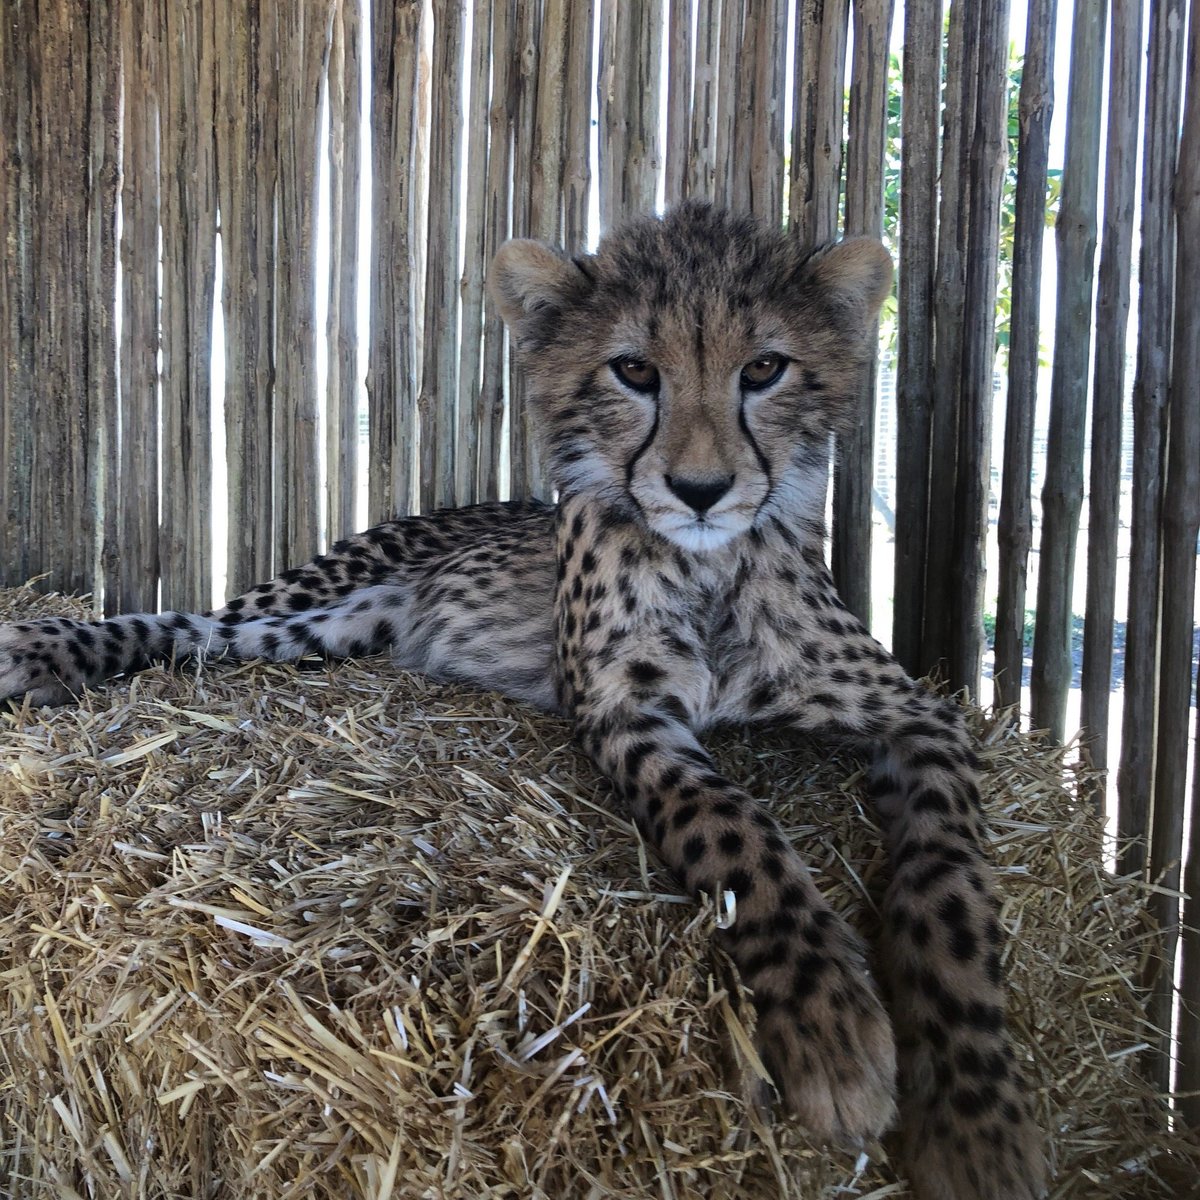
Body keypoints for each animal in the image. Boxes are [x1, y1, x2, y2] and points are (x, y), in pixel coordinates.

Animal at [2, 206, 1041, 1200]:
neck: (709, 572)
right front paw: (831, 1021)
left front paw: (974, 1120)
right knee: (187, 623)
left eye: (764, 368)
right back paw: (43, 646)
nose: (701, 489)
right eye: (634, 370)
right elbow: (735, 828)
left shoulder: (920, 715)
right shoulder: (625, 715)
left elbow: (948, 886)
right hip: (308, 608)